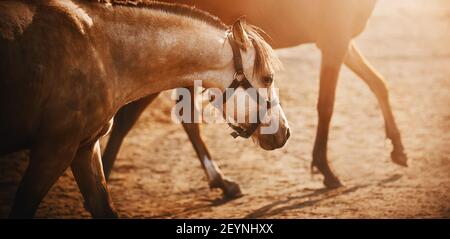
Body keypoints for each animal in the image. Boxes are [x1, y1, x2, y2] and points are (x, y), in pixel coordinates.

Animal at [0, 0, 290, 218]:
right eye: (268, 78)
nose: (285, 132)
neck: (101, 52)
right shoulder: (53, 152)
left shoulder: (84, 149)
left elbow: (104, 207)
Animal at [103, 0, 410, 192]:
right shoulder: (334, 40)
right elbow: (326, 105)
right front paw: (325, 170)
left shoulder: (339, 42)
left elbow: (378, 83)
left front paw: (398, 149)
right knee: (130, 119)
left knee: (183, 118)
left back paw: (221, 182)